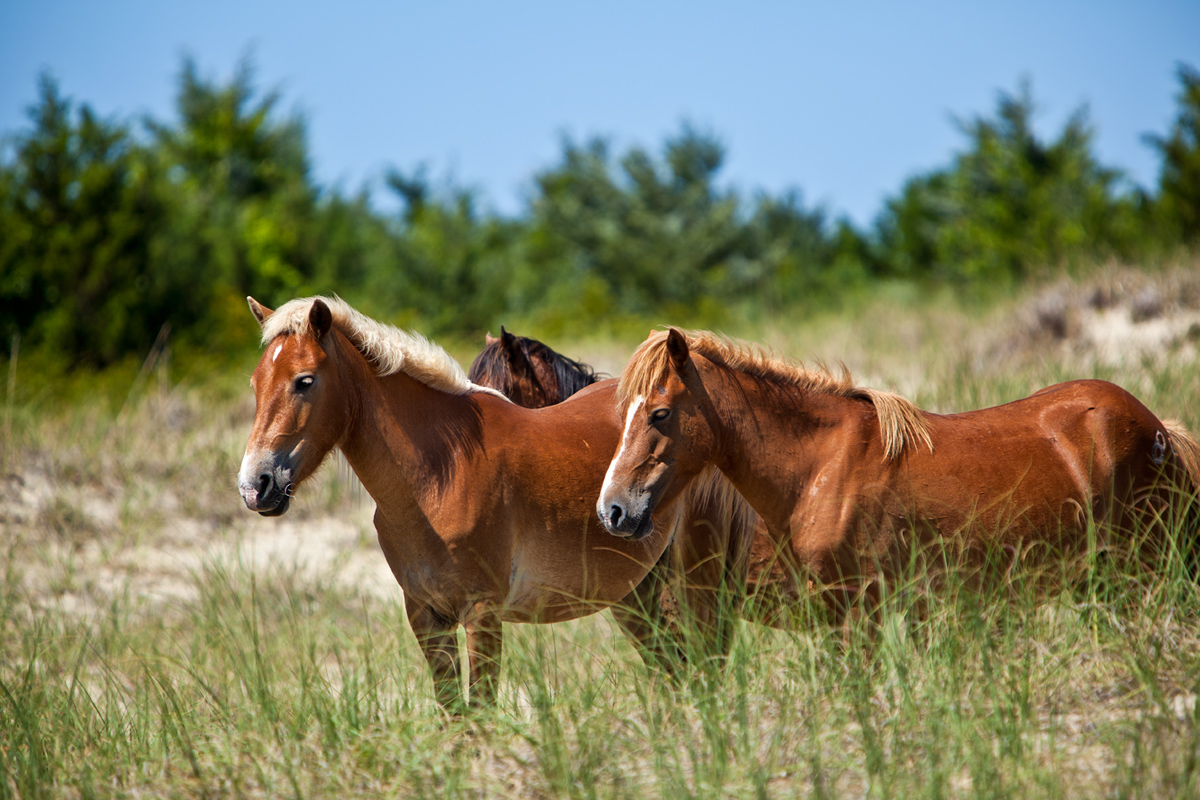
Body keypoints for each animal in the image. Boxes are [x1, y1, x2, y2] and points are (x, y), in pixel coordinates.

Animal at [236, 298, 744, 712]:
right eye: (255, 383)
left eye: (304, 381)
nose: (255, 485)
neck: (439, 475)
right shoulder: (427, 617)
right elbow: (453, 714)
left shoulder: (482, 616)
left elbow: (479, 715)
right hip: (635, 595)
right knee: (676, 670)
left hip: (693, 584)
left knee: (703, 666)